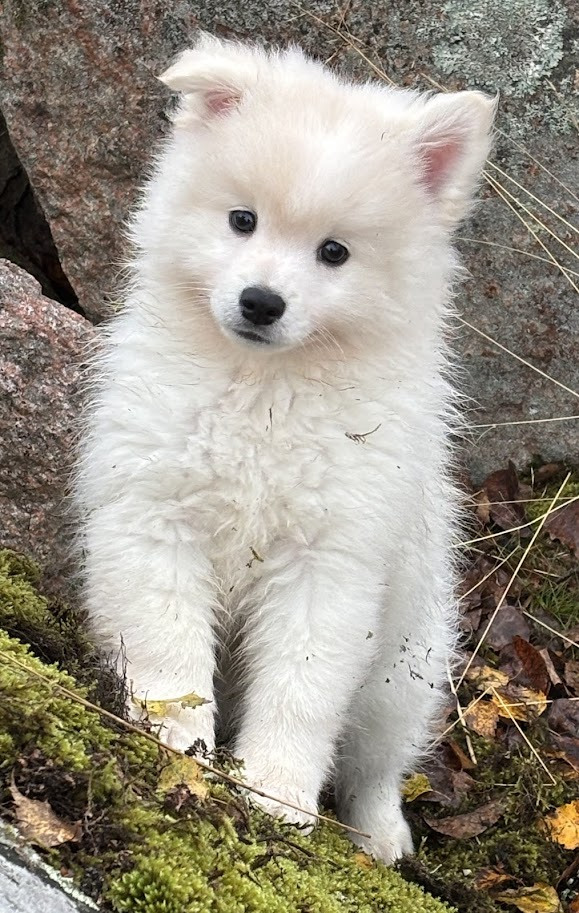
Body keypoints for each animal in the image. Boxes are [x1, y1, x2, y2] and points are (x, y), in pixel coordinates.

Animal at [75, 34, 495, 863]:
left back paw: (380, 836)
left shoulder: (327, 562)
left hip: (406, 669)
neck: (264, 388)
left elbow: (300, 691)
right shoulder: (158, 516)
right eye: (242, 219)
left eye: (334, 252)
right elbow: (171, 652)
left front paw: (276, 793)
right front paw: (177, 743)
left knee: (374, 763)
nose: (261, 302)